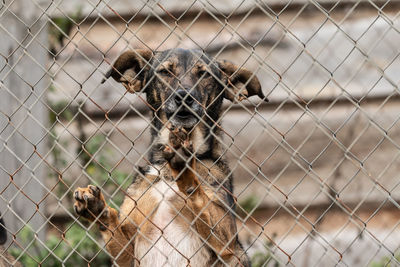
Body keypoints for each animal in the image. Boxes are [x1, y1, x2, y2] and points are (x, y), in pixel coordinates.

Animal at [72, 47, 266, 266]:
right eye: (165, 72)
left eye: (205, 74)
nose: (184, 97)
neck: (166, 172)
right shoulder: (127, 254)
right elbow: (112, 225)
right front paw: (97, 208)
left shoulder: (227, 240)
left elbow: (199, 196)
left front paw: (186, 169)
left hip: (236, 257)